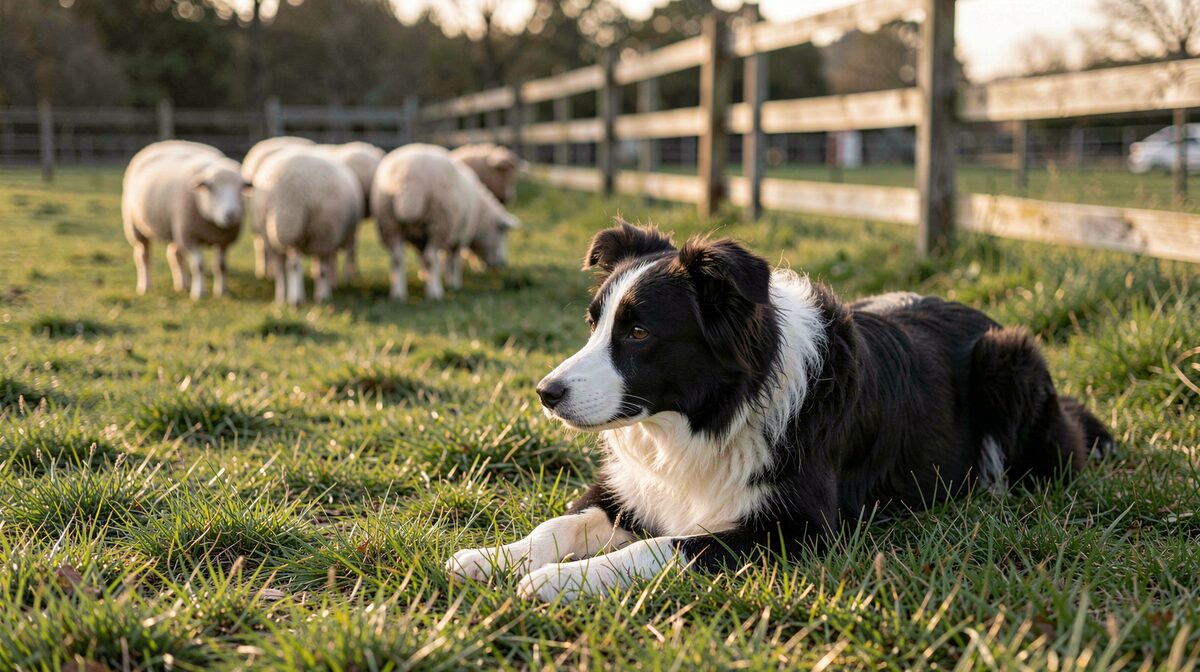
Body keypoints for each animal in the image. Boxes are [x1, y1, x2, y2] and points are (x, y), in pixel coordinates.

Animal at [122, 141, 248, 299]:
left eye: (241, 188)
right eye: (210, 187)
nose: (230, 214)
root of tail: (161, 144)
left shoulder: (224, 240)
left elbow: (221, 266)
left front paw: (222, 292)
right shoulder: (189, 236)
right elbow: (199, 265)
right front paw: (199, 293)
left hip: (175, 230)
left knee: (175, 255)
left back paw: (182, 285)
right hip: (136, 227)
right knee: (143, 256)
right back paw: (145, 287)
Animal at [251, 148, 363, 305]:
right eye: (270, 210)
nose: (278, 234)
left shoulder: (323, 239)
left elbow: (322, 270)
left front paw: (321, 297)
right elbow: (290, 268)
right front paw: (290, 299)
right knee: (286, 266)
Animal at [372, 143, 519, 302]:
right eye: (502, 232)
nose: (503, 264)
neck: (480, 215)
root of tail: (408, 183)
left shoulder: (421, 240)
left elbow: (427, 260)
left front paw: (427, 277)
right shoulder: (461, 234)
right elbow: (453, 260)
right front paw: (453, 282)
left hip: (390, 225)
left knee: (397, 258)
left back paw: (398, 294)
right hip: (441, 223)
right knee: (430, 257)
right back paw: (435, 294)